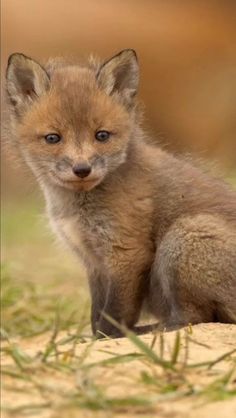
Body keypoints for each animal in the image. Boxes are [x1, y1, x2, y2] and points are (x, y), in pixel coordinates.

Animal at [5, 49, 236, 336]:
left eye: (102, 135)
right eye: (52, 138)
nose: (82, 169)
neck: (75, 208)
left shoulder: (126, 251)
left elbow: (114, 312)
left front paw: (108, 336)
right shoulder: (93, 262)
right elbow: (96, 311)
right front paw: (90, 338)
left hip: (184, 236)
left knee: (195, 317)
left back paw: (151, 330)